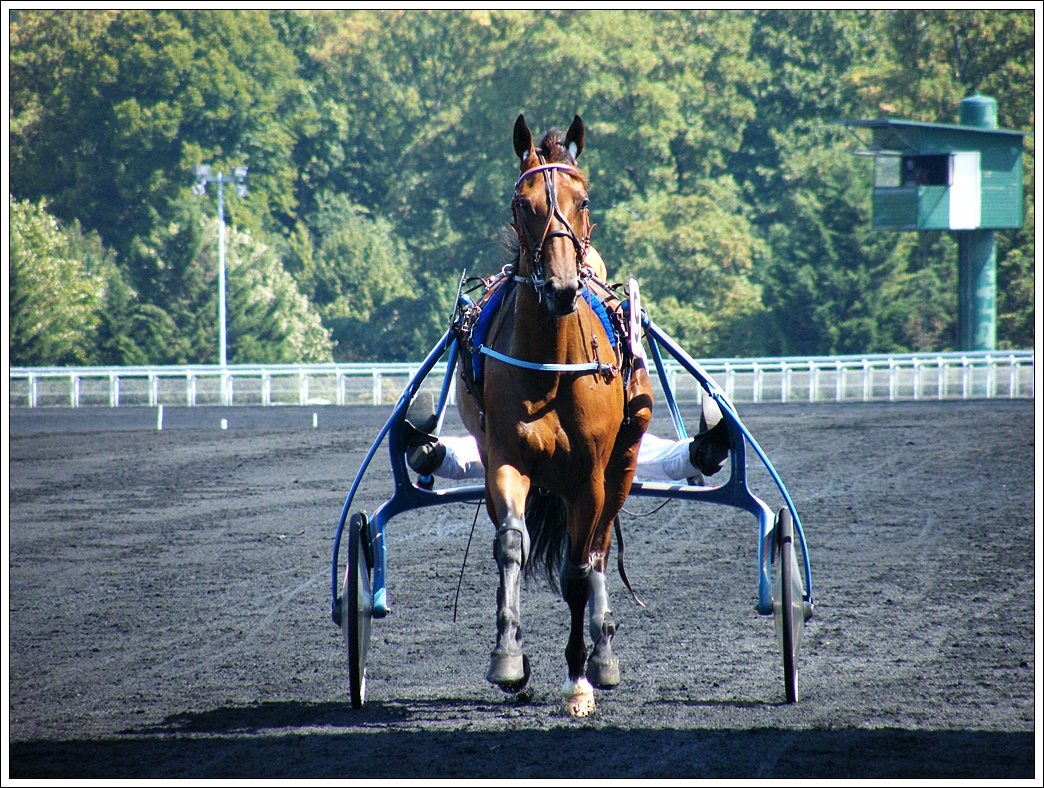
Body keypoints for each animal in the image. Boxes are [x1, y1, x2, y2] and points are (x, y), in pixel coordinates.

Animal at [459, 114, 651, 718]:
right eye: (524, 204)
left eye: (582, 200)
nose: (564, 286)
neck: (552, 365)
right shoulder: (505, 460)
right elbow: (511, 546)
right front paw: (508, 657)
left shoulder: (588, 477)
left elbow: (576, 570)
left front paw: (578, 678)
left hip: (622, 465)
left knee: (598, 550)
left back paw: (602, 653)